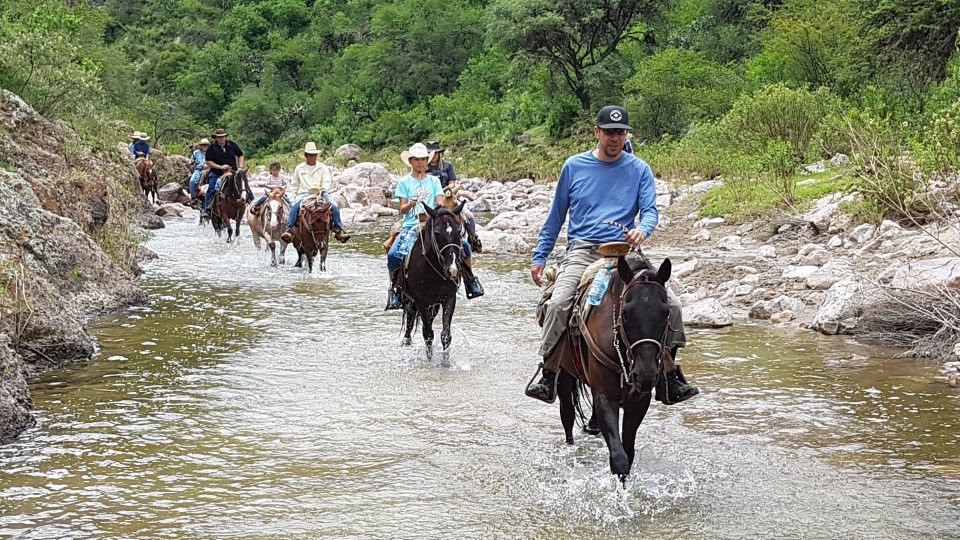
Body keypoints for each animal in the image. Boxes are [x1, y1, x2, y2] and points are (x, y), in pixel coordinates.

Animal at [400, 201, 466, 362]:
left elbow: (445, 335)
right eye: (436, 233)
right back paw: (407, 342)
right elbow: (428, 333)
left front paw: (445, 361)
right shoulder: (420, 301)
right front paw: (429, 360)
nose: (453, 270)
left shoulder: (449, 298)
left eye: (459, 231)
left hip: (434, 305)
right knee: (411, 317)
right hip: (410, 299)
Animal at [548, 255, 676, 484]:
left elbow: (629, 452)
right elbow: (619, 458)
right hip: (564, 373)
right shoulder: (606, 397)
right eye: (625, 313)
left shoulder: (639, 400)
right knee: (567, 414)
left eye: (666, 312)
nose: (645, 374)